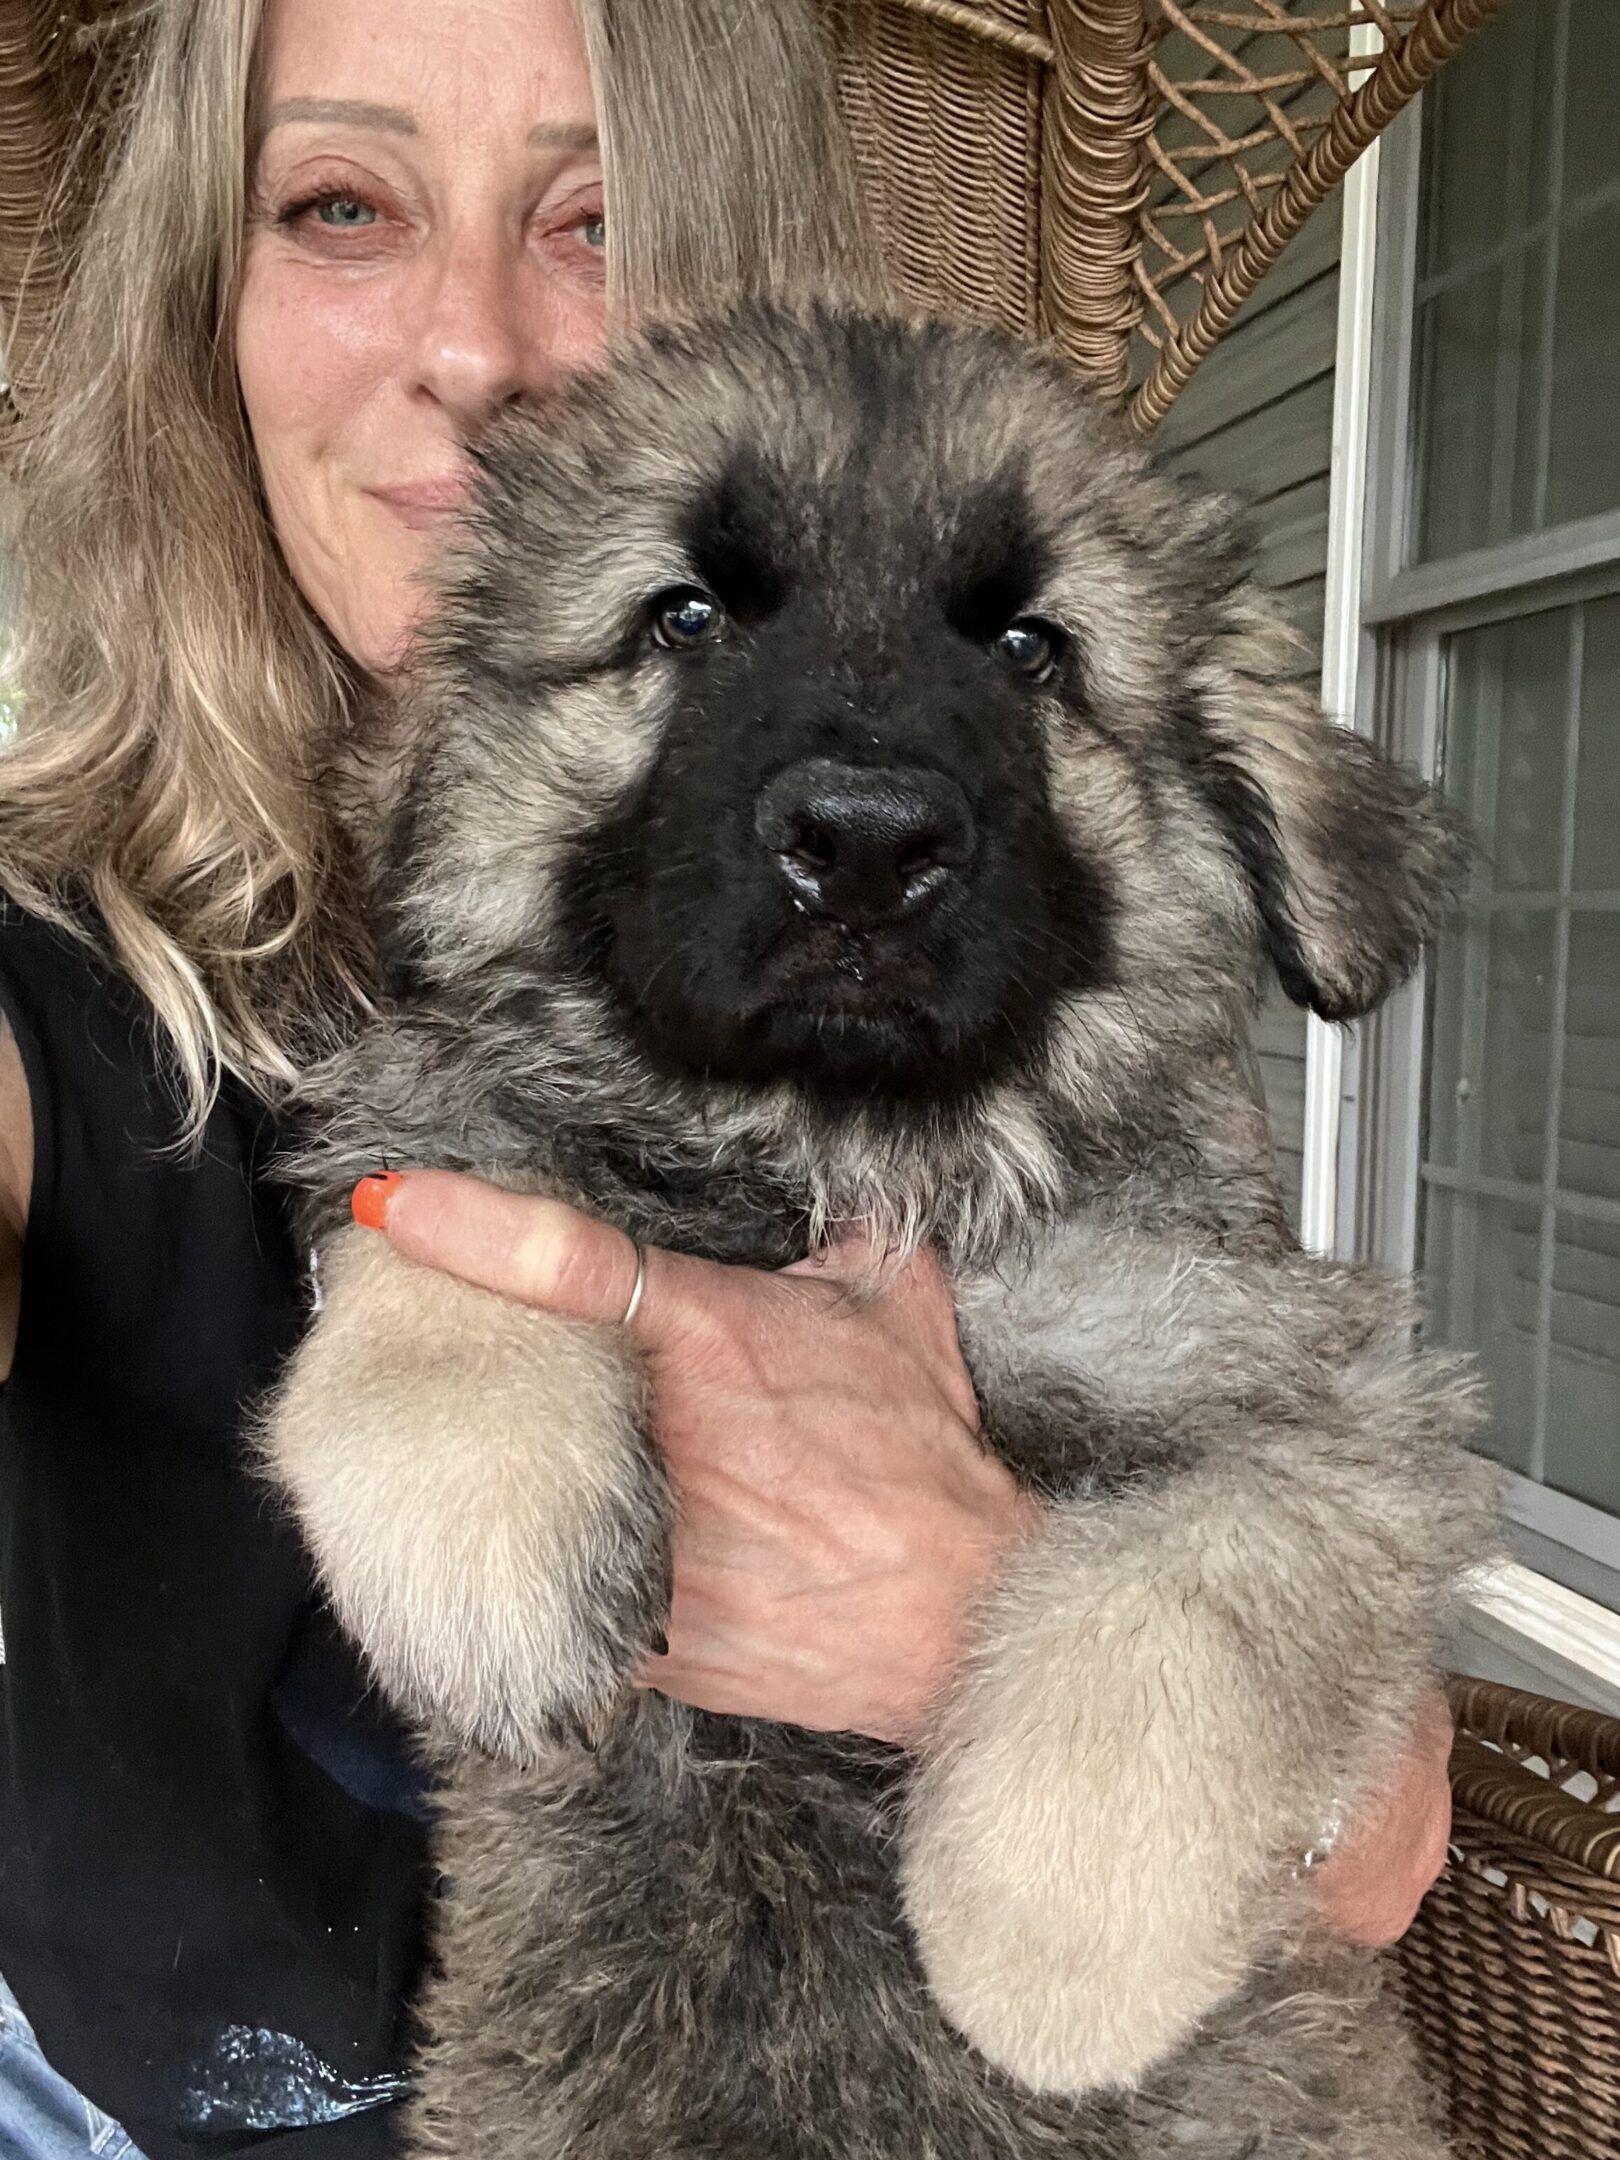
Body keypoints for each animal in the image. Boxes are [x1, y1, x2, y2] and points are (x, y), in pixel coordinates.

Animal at [263, 304, 1494, 2160]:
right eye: (685, 618)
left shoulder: (1315, 1391)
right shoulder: (445, 1156)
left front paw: (1051, 1946)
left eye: (1035, 649)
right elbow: (441, 1246)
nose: (862, 842)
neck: (841, 1161)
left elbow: (1187, 1600)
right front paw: (486, 1548)